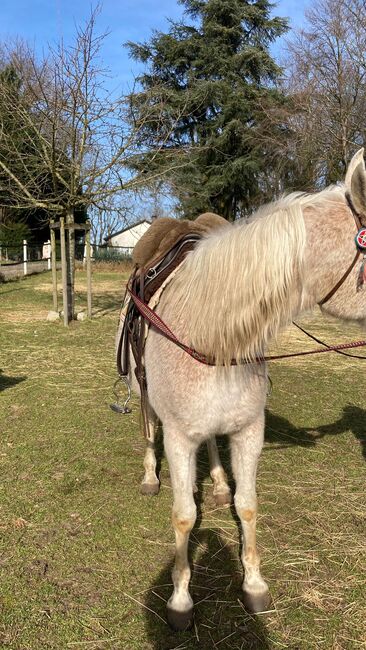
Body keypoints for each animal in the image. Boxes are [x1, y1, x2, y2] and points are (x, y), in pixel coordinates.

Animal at [125, 151, 366, 628]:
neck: (210, 335)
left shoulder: (248, 431)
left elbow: (248, 505)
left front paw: (254, 584)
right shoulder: (179, 439)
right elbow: (184, 517)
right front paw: (180, 599)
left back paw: (219, 482)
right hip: (143, 392)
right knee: (147, 429)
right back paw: (149, 476)